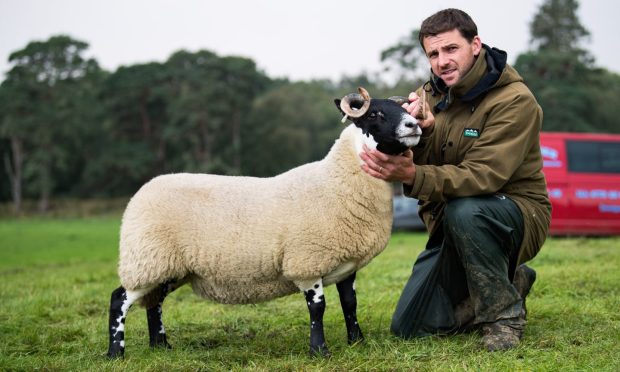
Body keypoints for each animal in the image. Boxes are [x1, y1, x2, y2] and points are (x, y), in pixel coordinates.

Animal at [108, 86, 422, 358]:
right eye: (375, 114)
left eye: (403, 109)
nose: (414, 125)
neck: (337, 179)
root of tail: (142, 192)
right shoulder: (306, 262)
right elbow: (318, 308)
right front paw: (319, 351)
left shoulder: (346, 264)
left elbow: (350, 304)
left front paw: (357, 342)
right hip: (146, 259)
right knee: (119, 300)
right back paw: (116, 353)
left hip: (168, 267)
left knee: (154, 303)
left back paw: (161, 346)